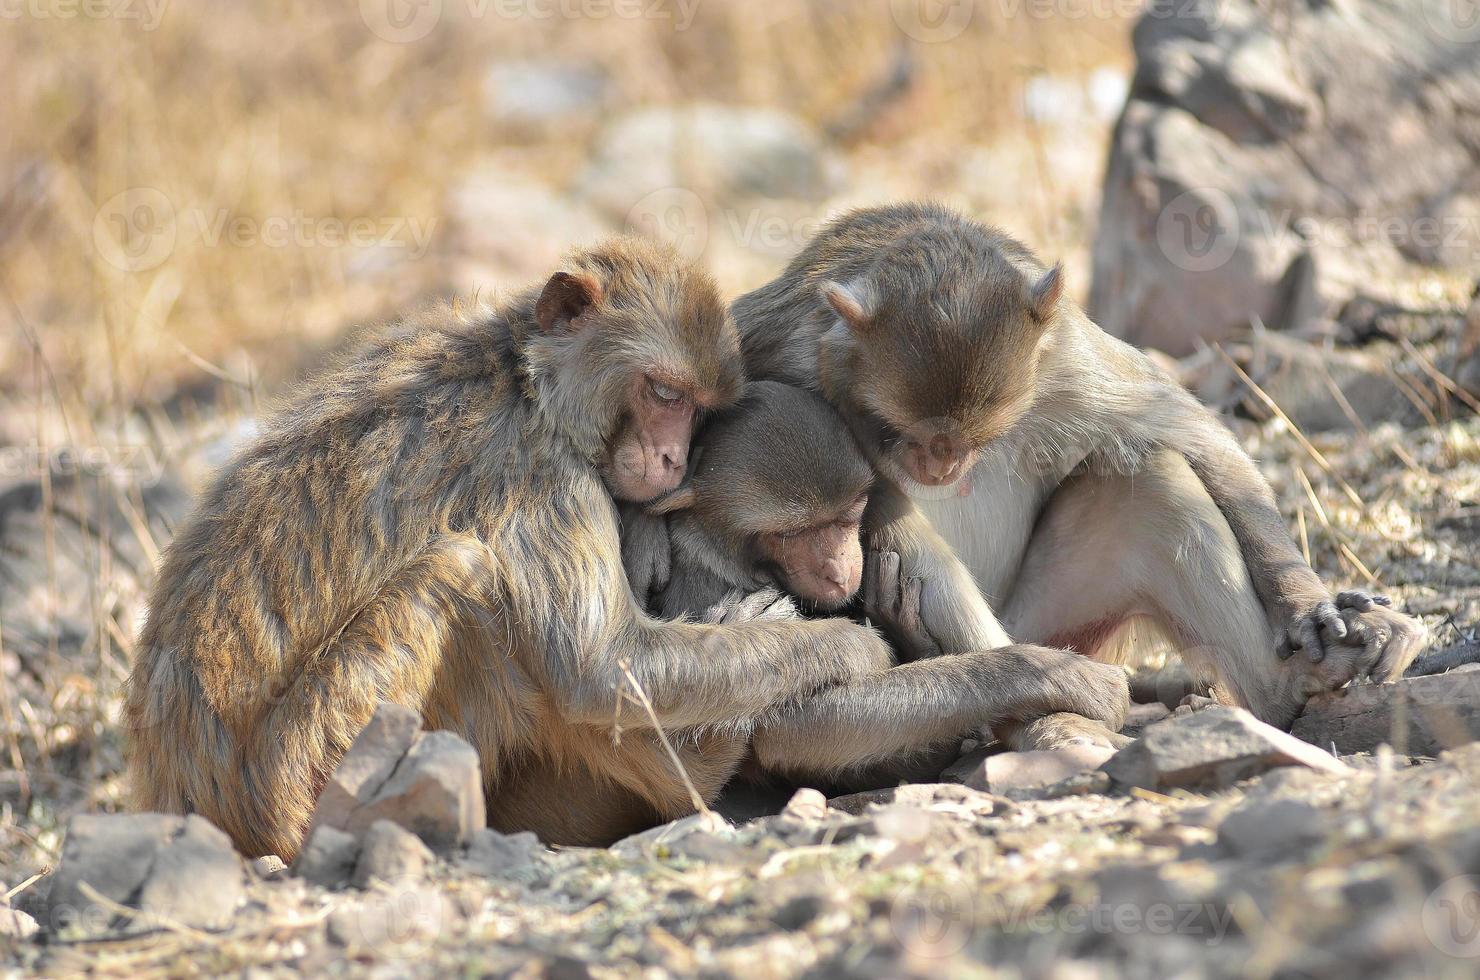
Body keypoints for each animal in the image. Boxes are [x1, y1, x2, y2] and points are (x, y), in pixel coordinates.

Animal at [124, 239, 888, 858]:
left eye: (698, 408)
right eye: (664, 392)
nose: (673, 458)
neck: (524, 380)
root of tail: (184, 800)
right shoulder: (544, 478)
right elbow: (602, 669)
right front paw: (851, 646)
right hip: (307, 771)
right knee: (465, 572)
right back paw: (696, 770)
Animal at [618, 378, 1124, 787]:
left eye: (847, 516)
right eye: (789, 535)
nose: (838, 569)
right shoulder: (711, 584)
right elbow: (785, 728)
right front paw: (1053, 672)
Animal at [734, 202, 1426, 734]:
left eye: (977, 437)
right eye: (900, 430)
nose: (941, 464)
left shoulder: (1065, 360)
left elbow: (1200, 442)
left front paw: (1307, 606)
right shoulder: (784, 353)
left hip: (1062, 621)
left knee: (1151, 478)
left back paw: (1290, 685)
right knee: (895, 517)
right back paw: (1030, 688)